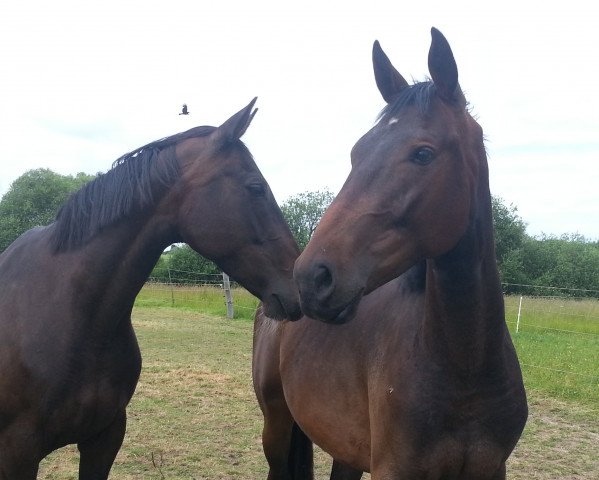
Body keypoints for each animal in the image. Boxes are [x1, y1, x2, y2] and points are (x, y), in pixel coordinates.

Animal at [255, 29, 528, 476]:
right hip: (276, 429)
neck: (465, 367)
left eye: (423, 153)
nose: (311, 277)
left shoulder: (491, 469)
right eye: (357, 153)